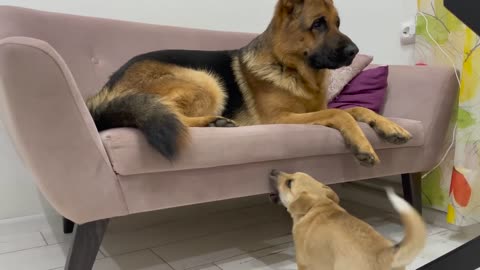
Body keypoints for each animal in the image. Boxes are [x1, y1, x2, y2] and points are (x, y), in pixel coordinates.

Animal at [86, 0, 408, 167]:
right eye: (318, 24)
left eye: (338, 23)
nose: (355, 51)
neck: (291, 68)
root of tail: (105, 90)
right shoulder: (281, 119)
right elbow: (340, 114)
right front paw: (362, 143)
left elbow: (357, 109)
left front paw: (391, 127)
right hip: (206, 79)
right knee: (172, 114)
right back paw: (213, 122)